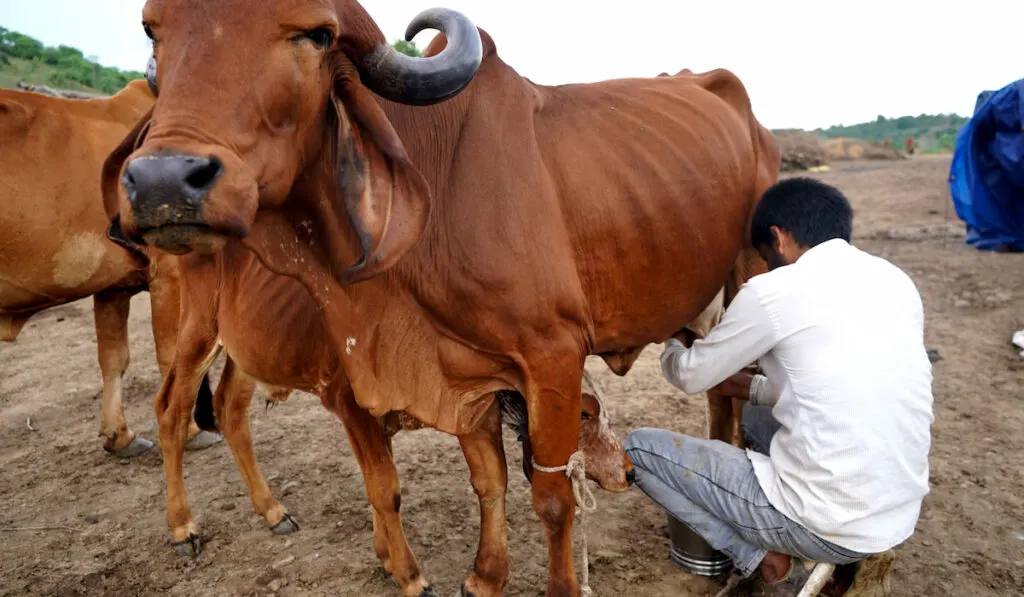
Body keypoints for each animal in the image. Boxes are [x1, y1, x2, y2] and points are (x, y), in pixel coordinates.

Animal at [1, 81, 218, 458]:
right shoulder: (170, 275)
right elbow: (171, 354)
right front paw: (190, 431)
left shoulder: (111, 289)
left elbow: (114, 359)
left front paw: (119, 435)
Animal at [101, 2, 774, 593]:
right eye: (152, 29)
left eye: (317, 35)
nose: (163, 182)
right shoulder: (457, 374)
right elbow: (483, 481)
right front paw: (479, 577)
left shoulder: (550, 357)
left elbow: (551, 498)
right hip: (204, 333)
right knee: (184, 408)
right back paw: (193, 525)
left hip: (750, 275)